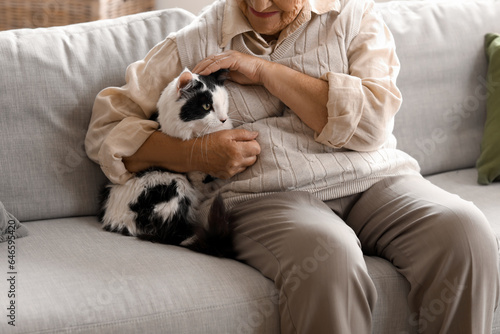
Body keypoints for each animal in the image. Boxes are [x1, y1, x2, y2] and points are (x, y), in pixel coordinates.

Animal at [100, 66, 237, 258]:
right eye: (206, 106)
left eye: (224, 102)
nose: (223, 119)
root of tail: (115, 220)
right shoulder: (194, 177)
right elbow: (206, 183)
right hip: (172, 183)